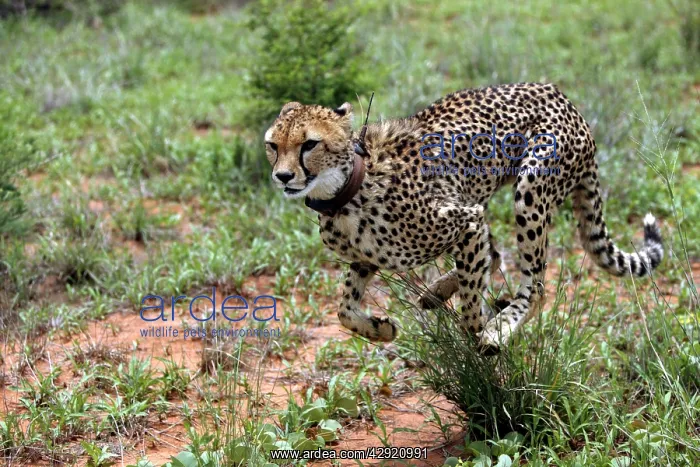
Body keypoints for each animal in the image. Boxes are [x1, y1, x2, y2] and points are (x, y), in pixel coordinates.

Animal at [263, 83, 664, 352]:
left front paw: (484, 328)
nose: (282, 176)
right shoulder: (368, 258)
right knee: (497, 255)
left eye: (309, 144)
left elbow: (472, 302)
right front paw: (381, 329)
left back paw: (499, 324)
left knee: (535, 285)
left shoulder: (467, 220)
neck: (344, 194)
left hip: (531, 187)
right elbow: (344, 308)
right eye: (272, 145)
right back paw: (438, 292)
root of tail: (560, 96)